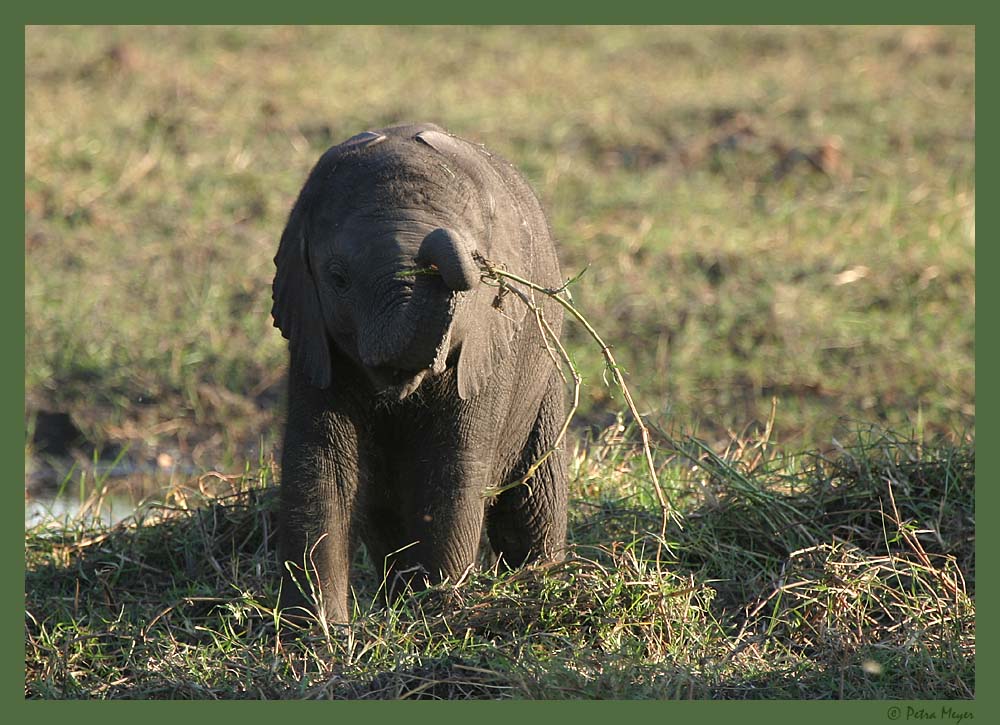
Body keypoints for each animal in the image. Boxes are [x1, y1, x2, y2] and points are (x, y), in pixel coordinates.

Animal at [274, 121, 568, 620]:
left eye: (481, 281)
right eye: (337, 278)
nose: (449, 247)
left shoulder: (487, 354)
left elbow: (450, 475)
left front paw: (434, 615)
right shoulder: (315, 345)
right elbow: (322, 474)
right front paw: (319, 632)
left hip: (545, 383)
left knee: (532, 504)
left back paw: (541, 579)